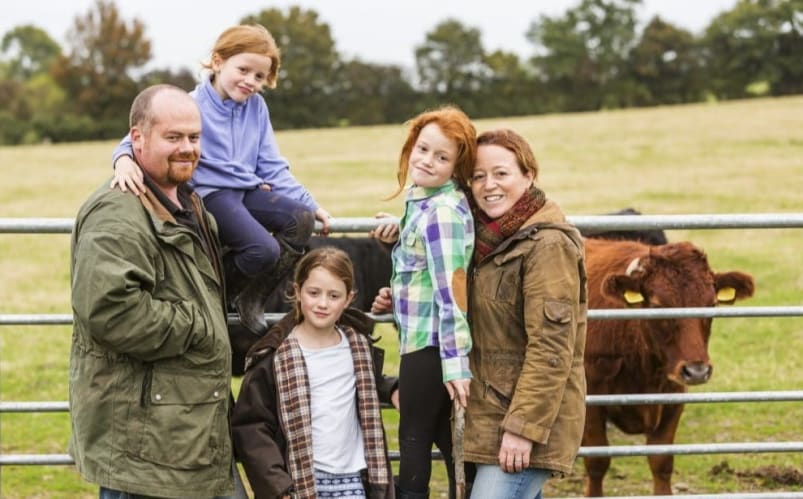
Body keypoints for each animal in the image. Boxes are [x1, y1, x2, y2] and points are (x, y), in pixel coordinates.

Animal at [580, 238, 756, 496]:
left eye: (712, 303)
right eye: (656, 305)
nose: (697, 371)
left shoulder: (673, 399)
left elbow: (661, 462)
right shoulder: (590, 403)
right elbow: (597, 462)